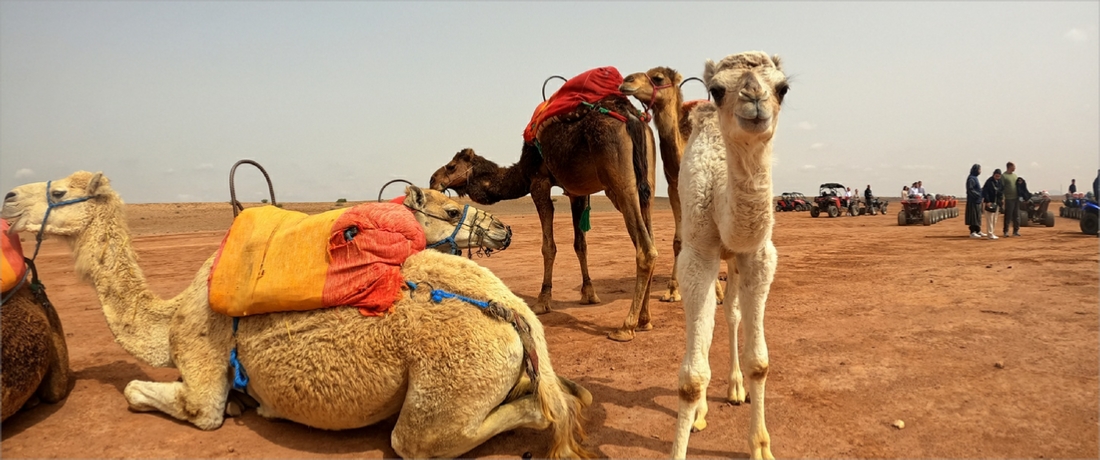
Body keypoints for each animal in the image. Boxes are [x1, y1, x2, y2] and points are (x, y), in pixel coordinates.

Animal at [426, 95, 651, 343]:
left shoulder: (538, 182)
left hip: (618, 180)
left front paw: (543, 301)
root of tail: (630, 115)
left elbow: (548, 246)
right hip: (644, 180)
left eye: (451, 166)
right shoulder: (577, 192)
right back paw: (645, 320)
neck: (522, 169)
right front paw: (589, 294)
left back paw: (626, 327)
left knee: (645, 248)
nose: (433, 179)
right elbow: (580, 244)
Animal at [668, 51, 792, 457]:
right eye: (718, 89)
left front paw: (761, 446)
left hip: (734, 260)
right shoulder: (696, 255)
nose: (753, 97)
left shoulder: (757, 255)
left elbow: (760, 362)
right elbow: (691, 377)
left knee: (732, 314)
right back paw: (702, 412)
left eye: (783, 87)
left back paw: (735, 389)